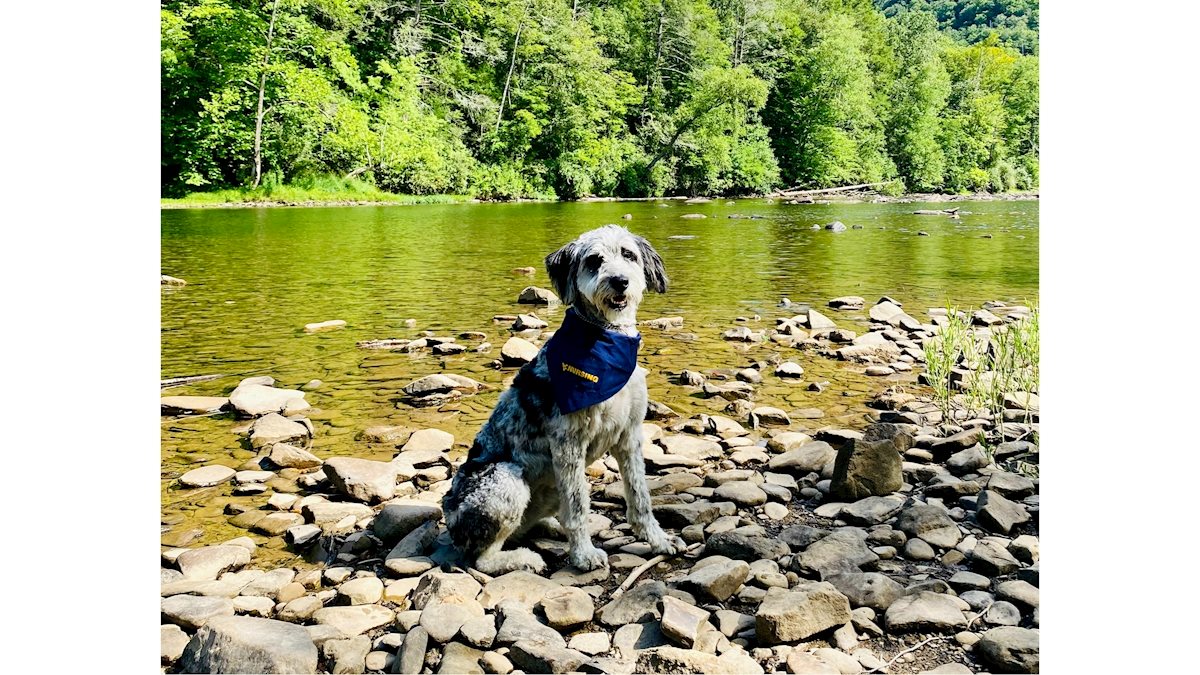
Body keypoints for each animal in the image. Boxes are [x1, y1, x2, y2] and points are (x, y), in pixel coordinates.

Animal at [441, 223, 686, 569]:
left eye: (628, 254)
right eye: (594, 260)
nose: (620, 281)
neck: (606, 338)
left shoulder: (629, 435)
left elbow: (640, 497)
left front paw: (659, 540)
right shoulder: (568, 443)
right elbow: (578, 507)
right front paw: (583, 554)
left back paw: (549, 528)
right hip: (506, 480)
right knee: (482, 559)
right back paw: (523, 558)